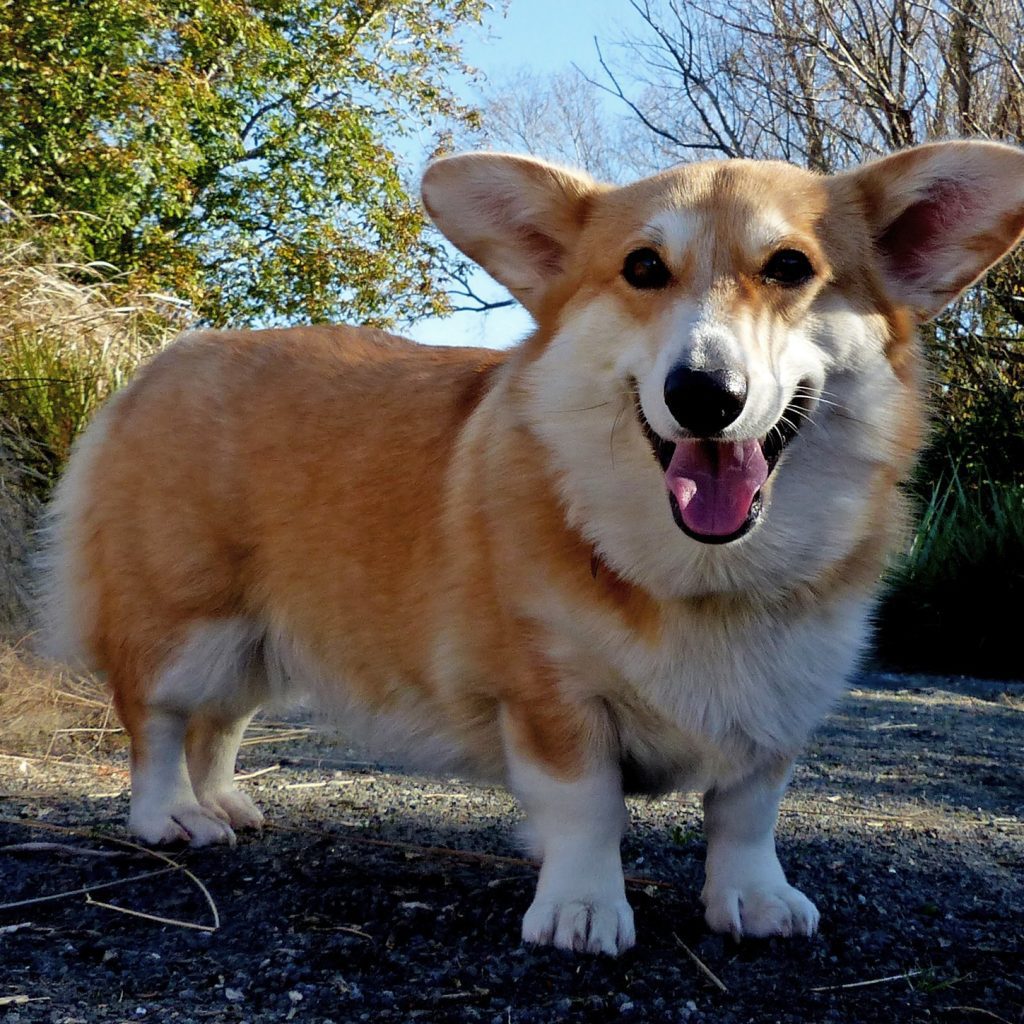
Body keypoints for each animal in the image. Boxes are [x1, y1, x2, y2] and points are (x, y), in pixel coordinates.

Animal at [36, 138, 1024, 950]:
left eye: (791, 267)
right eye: (642, 268)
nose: (704, 393)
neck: (703, 575)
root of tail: (166, 358)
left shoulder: (778, 699)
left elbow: (747, 811)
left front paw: (753, 899)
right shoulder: (552, 695)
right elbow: (588, 811)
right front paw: (583, 910)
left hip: (258, 642)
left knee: (219, 727)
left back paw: (225, 802)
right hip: (187, 624)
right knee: (158, 724)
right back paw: (171, 818)